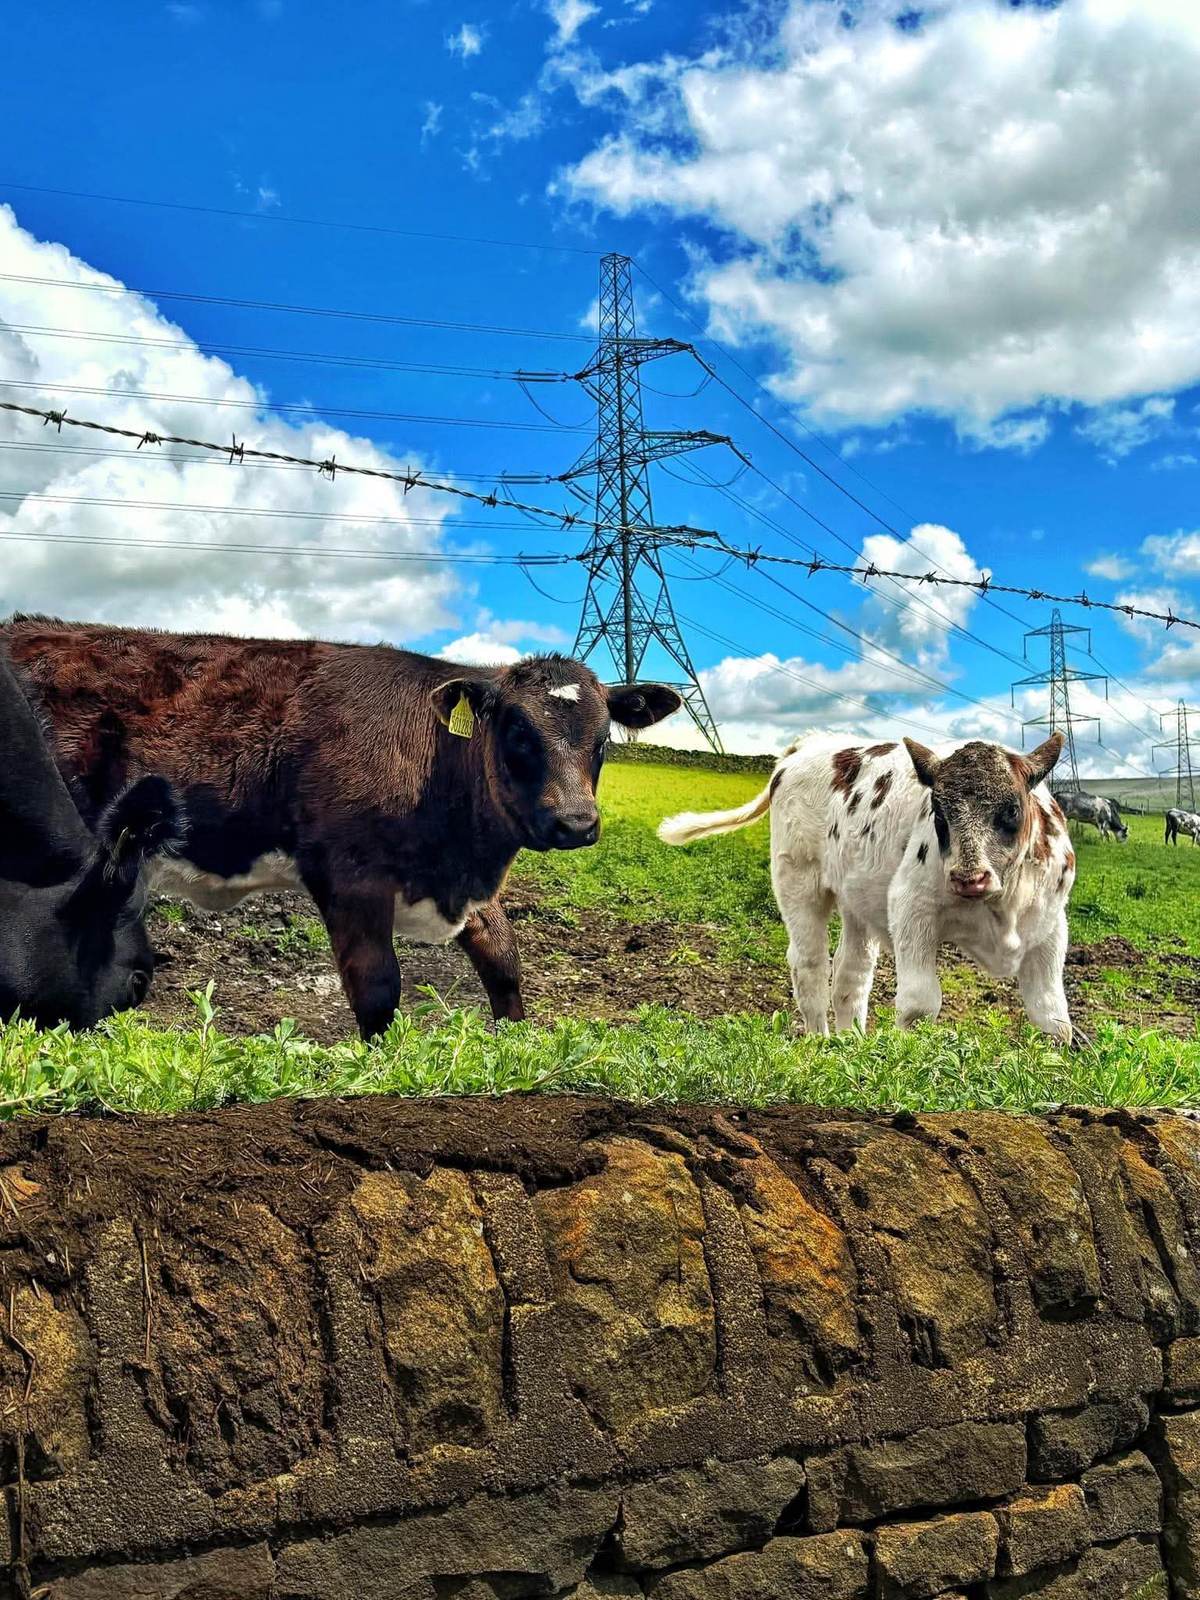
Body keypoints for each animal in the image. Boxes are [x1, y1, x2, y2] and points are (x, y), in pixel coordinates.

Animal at [658, 731, 1075, 1042]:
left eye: (1012, 809)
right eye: (939, 812)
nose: (968, 878)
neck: (1003, 902)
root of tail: (808, 745)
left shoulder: (1052, 927)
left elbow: (1052, 1015)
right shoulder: (911, 909)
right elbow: (919, 1003)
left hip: (857, 898)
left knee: (851, 973)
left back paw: (852, 1043)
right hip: (797, 881)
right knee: (810, 964)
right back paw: (820, 1041)